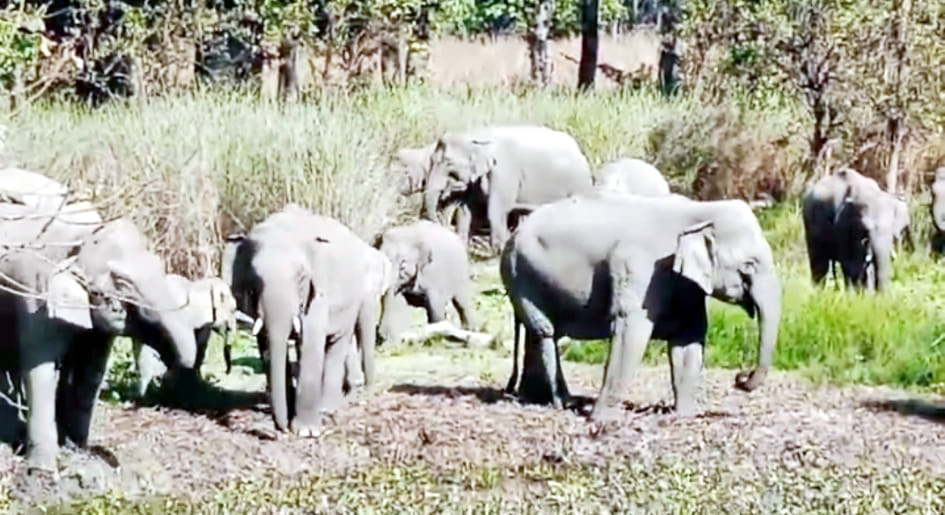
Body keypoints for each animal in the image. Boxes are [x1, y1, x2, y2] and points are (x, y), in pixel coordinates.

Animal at [0, 202, 197, 473]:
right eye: (122, 282)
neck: (80, 242)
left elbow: (90, 372)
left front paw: (79, 450)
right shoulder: (33, 296)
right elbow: (40, 371)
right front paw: (44, 469)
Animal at [222, 204, 390, 436]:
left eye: (301, 277)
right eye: (254, 279)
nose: (277, 430)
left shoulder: (319, 292)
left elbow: (311, 340)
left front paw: (305, 431)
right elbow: (267, 342)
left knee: (336, 343)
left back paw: (327, 408)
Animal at [422, 125, 593, 249]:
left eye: (448, 162)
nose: (442, 223)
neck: (477, 133)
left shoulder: (504, 171)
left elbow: (496, 209)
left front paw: (496, 252)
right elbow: (467, 209)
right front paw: (462, 247)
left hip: (579, 182)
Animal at [500, 192, 781, 419]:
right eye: (748, 265)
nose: (740, 377)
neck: (698, 210)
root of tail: (514, 231)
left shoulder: (683, 284)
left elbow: (689, 336)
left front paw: (686, 415)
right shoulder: (639, 268)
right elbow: (631, 330)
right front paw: (602, 420)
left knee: (542, 333)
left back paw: (540, 399)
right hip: (519, 273)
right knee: (545, 332)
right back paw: (561, 402)